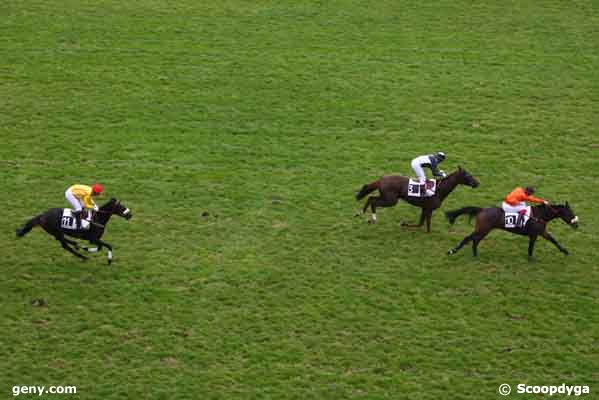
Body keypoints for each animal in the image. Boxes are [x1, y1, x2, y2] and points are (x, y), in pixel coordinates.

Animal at [448, 202, 580, 260]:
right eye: (570, 213)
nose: (576, 225)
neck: (540, 215)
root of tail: (481, 210)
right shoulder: (534, 234)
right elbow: (531, 247)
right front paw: (530, 258)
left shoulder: (541, 232)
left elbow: (553, 240)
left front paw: (565, 251)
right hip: (483, 229)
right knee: (468, 238)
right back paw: (452, 251)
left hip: (484, 230)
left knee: (475, 240)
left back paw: (475, 254)